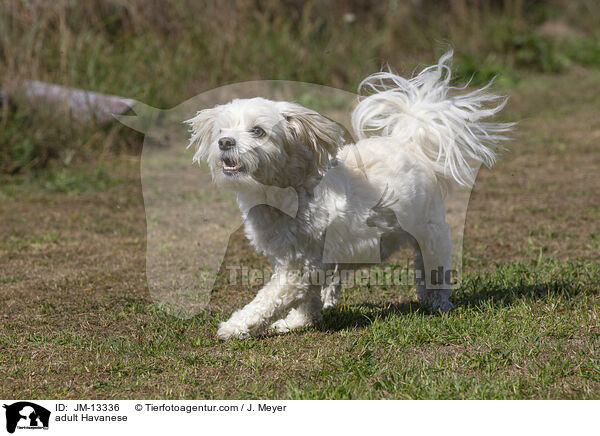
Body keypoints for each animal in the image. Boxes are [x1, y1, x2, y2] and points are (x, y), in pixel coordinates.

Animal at [188, 52, 510, 338]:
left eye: (258, 131)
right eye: (222, 129)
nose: (225, 142)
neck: (289, 190)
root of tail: (409, 142)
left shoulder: (298, 269)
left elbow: (268, 300)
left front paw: (235, 327)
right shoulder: (290, 258)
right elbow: (307, 300)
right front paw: (299, 322)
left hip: (430, 234)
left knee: (434, 273)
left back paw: (438, 304)